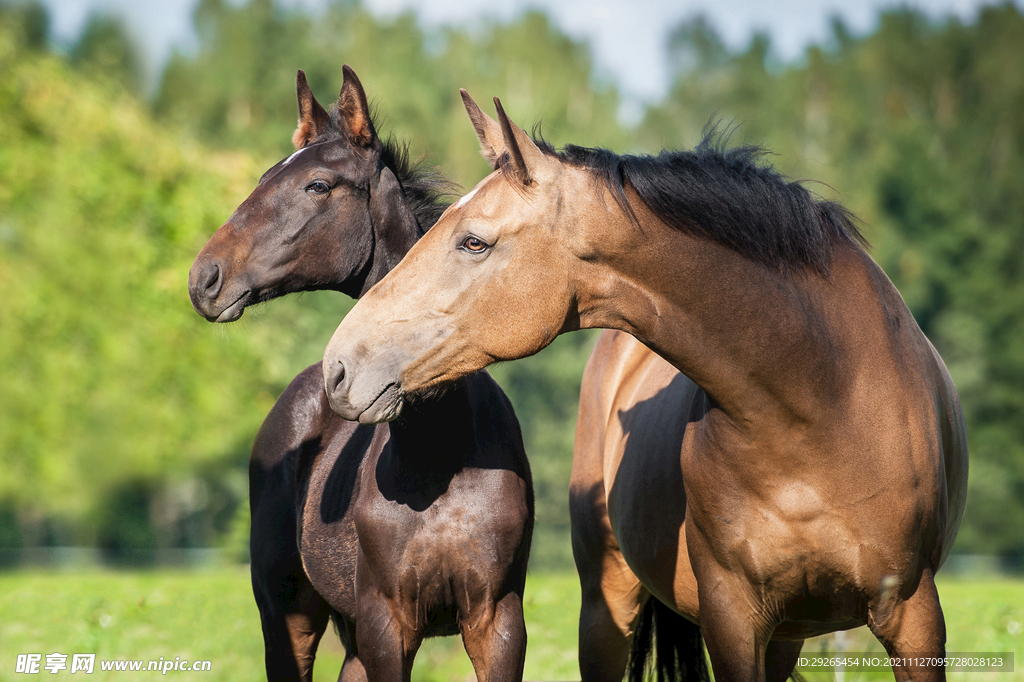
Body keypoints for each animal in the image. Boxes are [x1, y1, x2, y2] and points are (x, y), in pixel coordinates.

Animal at [187, 69, 532, 679]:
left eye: (318, 185)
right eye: (265, 176)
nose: (205, 278)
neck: (442, 452)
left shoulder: (498, 622)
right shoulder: (385, 624)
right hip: (289, 616)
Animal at [319, 91, 966, 679]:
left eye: (473, 241)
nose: (338, 366)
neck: (823, 393)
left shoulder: (913, 615)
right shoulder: (734, 620)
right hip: (609, 609)